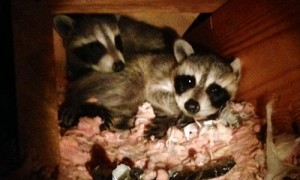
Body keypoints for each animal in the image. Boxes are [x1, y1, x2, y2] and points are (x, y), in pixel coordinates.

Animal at [59, 39, 241, 138]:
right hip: (121, 77)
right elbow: (152, 92)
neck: (175, 67)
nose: (191, 106)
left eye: (215, 90)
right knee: (133, 86)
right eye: (189, 81)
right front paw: (176, 114)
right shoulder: (159, 75)